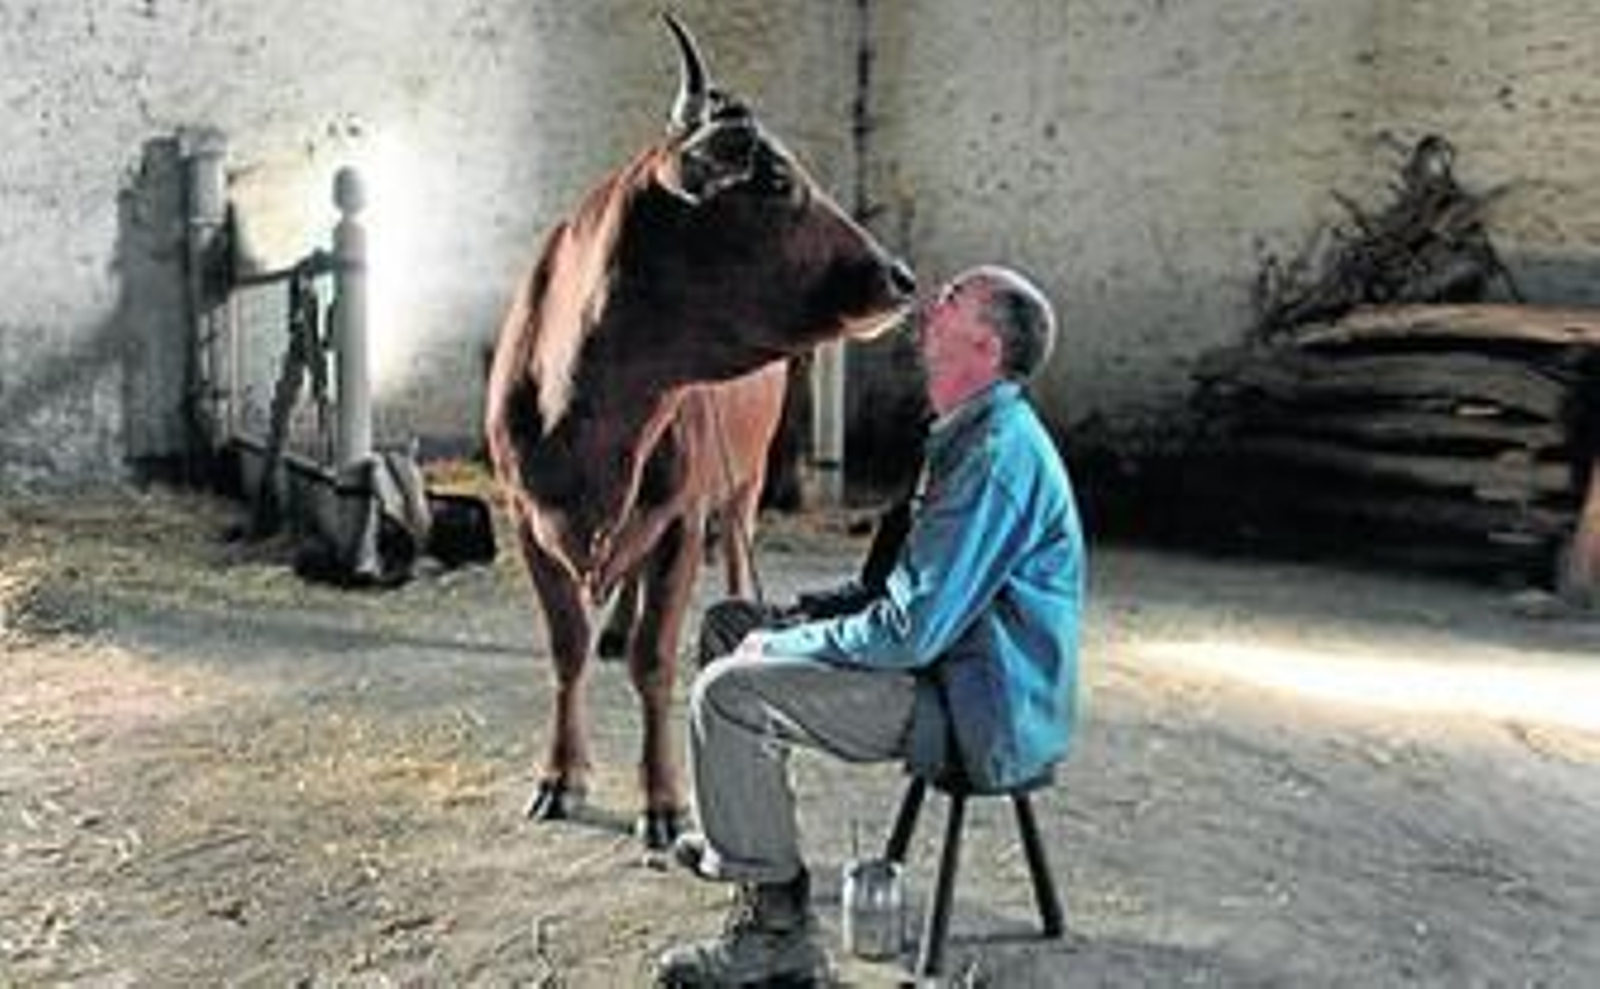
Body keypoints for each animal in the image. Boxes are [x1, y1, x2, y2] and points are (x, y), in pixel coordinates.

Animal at [484, 13, 915, 850]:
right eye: (774, 178)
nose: (901, 277)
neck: (595, 426)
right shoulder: (524, 516)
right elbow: (566, 647)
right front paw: (559, 774)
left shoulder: (682, 516)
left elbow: (654, 660)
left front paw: (662, 800)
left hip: (744, 478)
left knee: (733, 551)